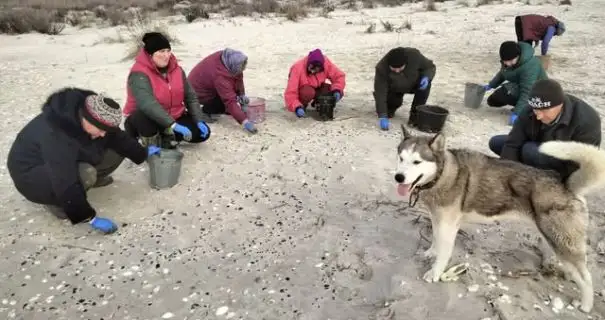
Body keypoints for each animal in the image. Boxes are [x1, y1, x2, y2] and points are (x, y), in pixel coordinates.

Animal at [394, 124, 604, 312]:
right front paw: (431, 252)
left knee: (586, 278)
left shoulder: (448, 225)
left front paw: (435, 272)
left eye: (417, 162)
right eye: (401, 158)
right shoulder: (437, 219)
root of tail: (566, 184)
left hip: (562, 243)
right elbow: (436, 240)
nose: (398, 177)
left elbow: (443, 253)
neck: (443, 174)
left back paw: (586, 305)